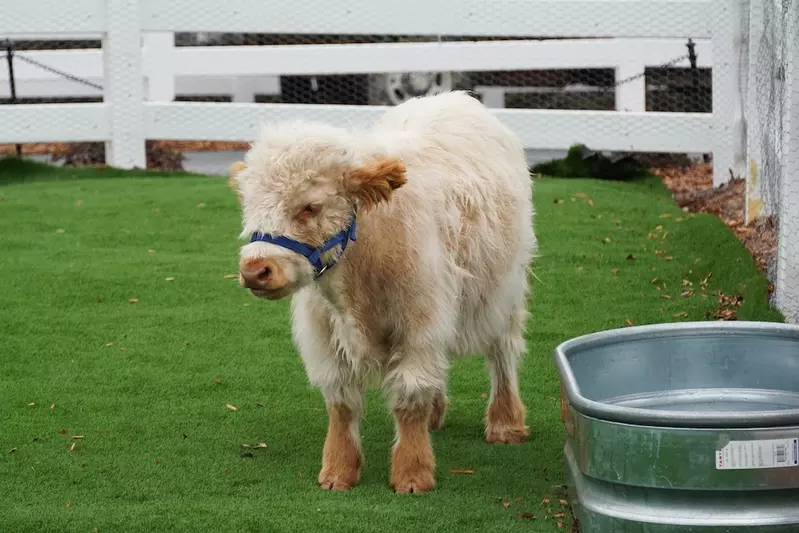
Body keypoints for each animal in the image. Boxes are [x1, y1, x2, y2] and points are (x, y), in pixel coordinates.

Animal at [230, 89, 536, 492]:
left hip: (505, 293)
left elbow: (410, 395)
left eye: (310, 207)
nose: (255, 271)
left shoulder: (419, 323)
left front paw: (412, 473)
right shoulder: (324, 335)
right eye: (249, 207)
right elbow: (342, 402)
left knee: (503, 354)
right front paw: (338, 471)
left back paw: (505, 423)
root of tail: (453, 97)